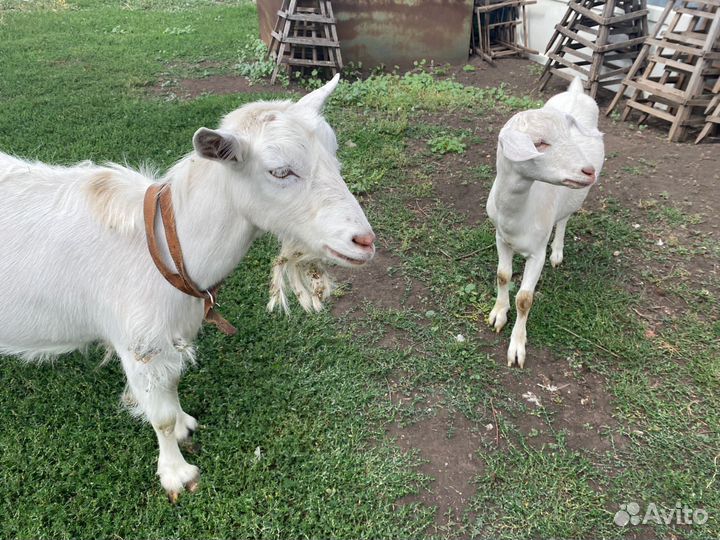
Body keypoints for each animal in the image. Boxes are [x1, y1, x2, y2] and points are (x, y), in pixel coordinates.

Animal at [0, 75, 376, 500]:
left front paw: (185, 425)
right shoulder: (137, 342)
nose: (364, 241)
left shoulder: (172, 334)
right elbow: (159, 416)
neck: (165, 245)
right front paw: (177, 473)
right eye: (280, 172)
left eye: (333, 152)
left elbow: (173, 385)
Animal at [486, 77, 605, 368]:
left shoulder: (536, 251)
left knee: (564, 218)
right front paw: (498, 313)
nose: (588, 171)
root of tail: (576, 92)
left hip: (573, 199)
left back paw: (558, 252)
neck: (518, 214)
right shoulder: (500, 237)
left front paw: (517, 348)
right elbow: (502, 275)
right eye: (539, 143)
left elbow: (525, 299)